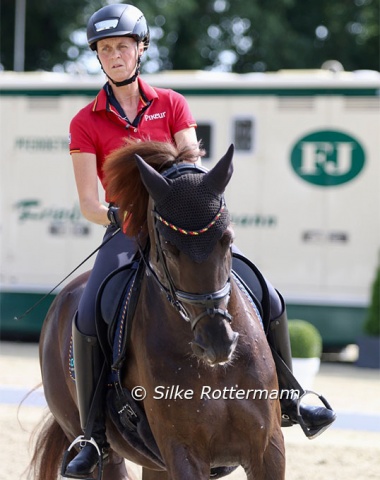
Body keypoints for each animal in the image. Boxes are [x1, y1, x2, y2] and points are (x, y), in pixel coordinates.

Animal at [30, 141, 284, 478]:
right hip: (99, 445)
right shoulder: (182, 452)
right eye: (168, 247)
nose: (217, 342)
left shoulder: (269, 447)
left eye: (227, 238)